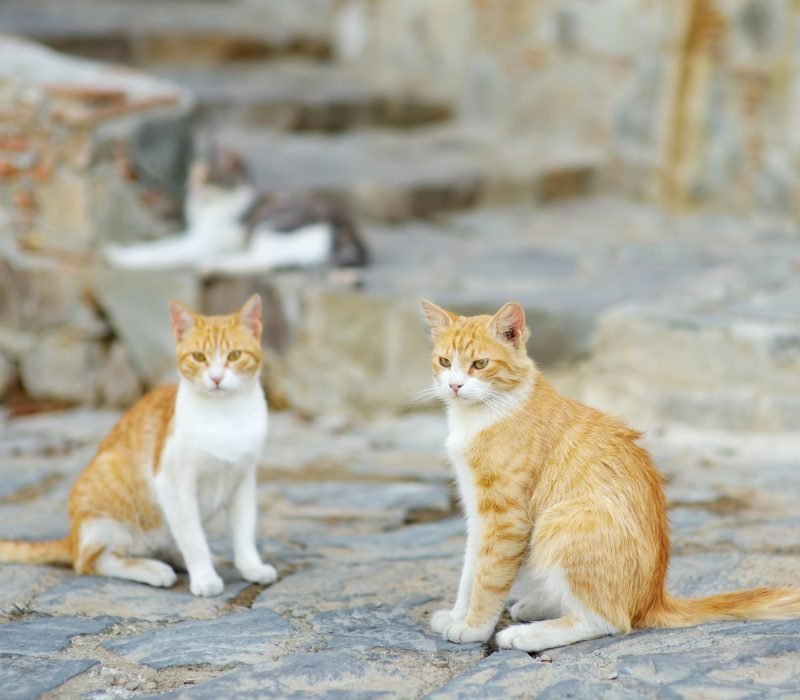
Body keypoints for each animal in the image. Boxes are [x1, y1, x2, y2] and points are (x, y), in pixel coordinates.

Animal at [0, 296, 278, 596]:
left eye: (235, 356)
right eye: (199, 357)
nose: (215, 378)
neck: (226, 415)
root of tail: (72, 537)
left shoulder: (243, 480)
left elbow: (244, 531)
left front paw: (250, 567)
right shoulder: (172, 482)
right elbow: (193, 539)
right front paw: (204, 578)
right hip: (107, 513)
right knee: (92, 561)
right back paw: (153, 569)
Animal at [418, 300, 800, 652]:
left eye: (480, 364)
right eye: (445, 362)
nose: (454, 386)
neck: (483, 414)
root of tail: (652, 599)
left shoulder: (506, 519)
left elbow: (488, 577)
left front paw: (474, 627)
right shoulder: (479, 514)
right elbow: (470, 571)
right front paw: (458, 615)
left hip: (562, 521)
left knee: (609, 621)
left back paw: (530, 634)